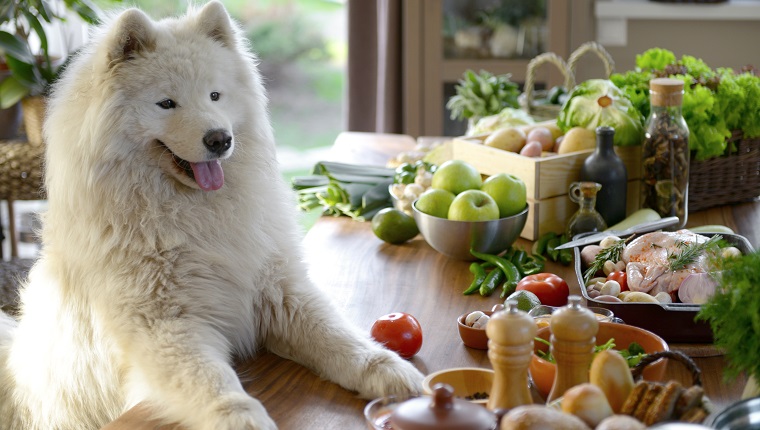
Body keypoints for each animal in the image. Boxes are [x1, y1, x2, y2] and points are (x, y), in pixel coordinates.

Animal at [0, 1, 422, 428]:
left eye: (215, 95)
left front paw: (390, 371)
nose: (220, 139)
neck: (196, 213)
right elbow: (215, 382)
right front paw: (244, 419)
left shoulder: (279, 291)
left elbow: (339, 337)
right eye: (166, 103)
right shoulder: (166, 324)